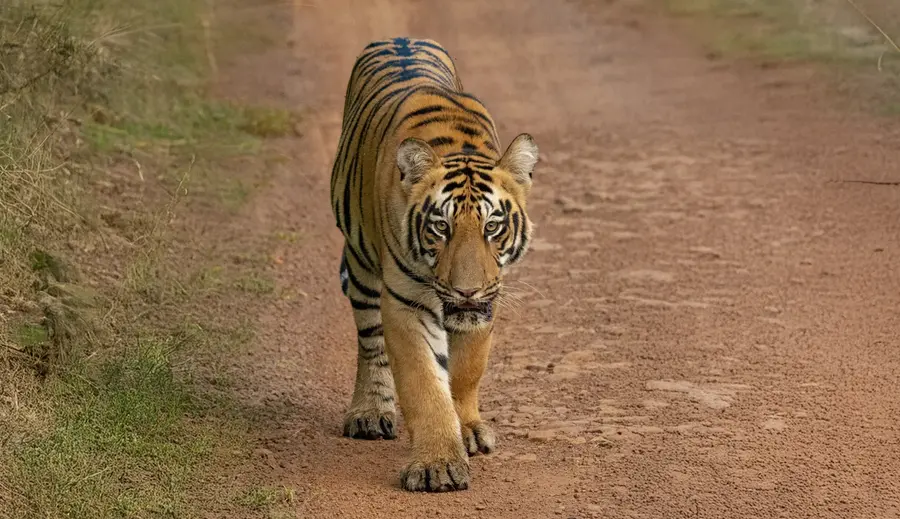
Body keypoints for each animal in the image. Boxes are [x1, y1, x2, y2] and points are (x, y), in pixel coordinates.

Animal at [330, 37, 538, 492]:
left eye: (492, 226)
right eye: (441, 227)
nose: (466, 290)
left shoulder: (486, 303)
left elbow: (466, 370)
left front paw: (468, 428)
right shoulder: (406, 302)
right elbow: (424, 383)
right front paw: (437, 465)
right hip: (361, 265)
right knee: (370, 341)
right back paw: (370, 413)